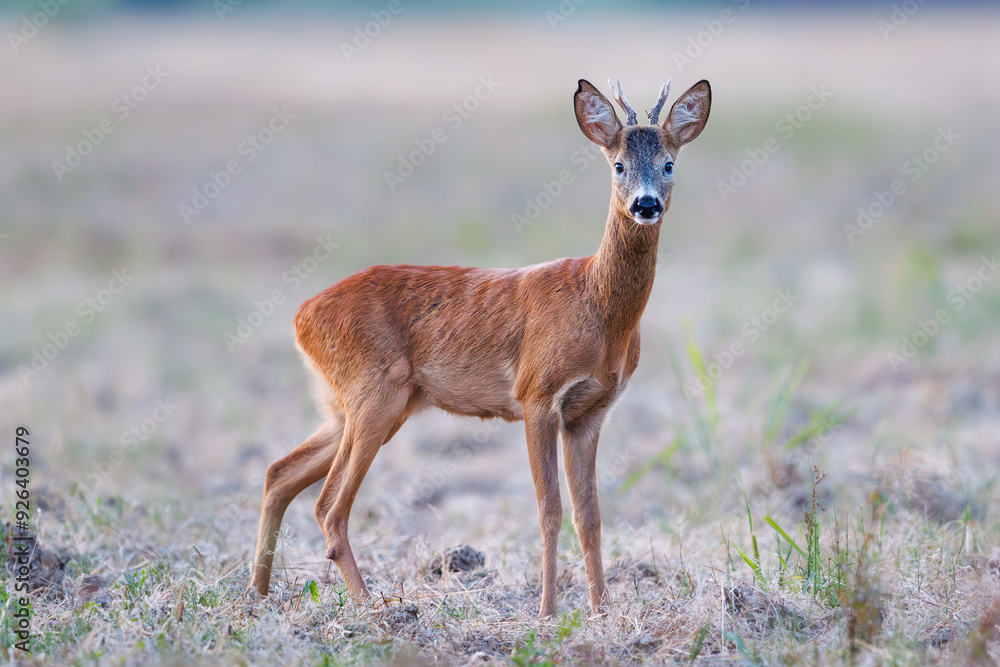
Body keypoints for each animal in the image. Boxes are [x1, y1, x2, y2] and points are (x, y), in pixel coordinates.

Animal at [250, 77, 711, 618]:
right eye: (618, 164)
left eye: (668, 163)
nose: (645, 204)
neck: (597, 310)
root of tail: (302, 314)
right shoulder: (537, 394)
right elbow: (550, 510)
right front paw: (547, 613)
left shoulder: (590, 412)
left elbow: (590, 516)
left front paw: (602, 611)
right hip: (374, 393)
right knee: (328, 504)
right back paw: (371, 606)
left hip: (357, 404)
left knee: (279, 472)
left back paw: (256, 595)